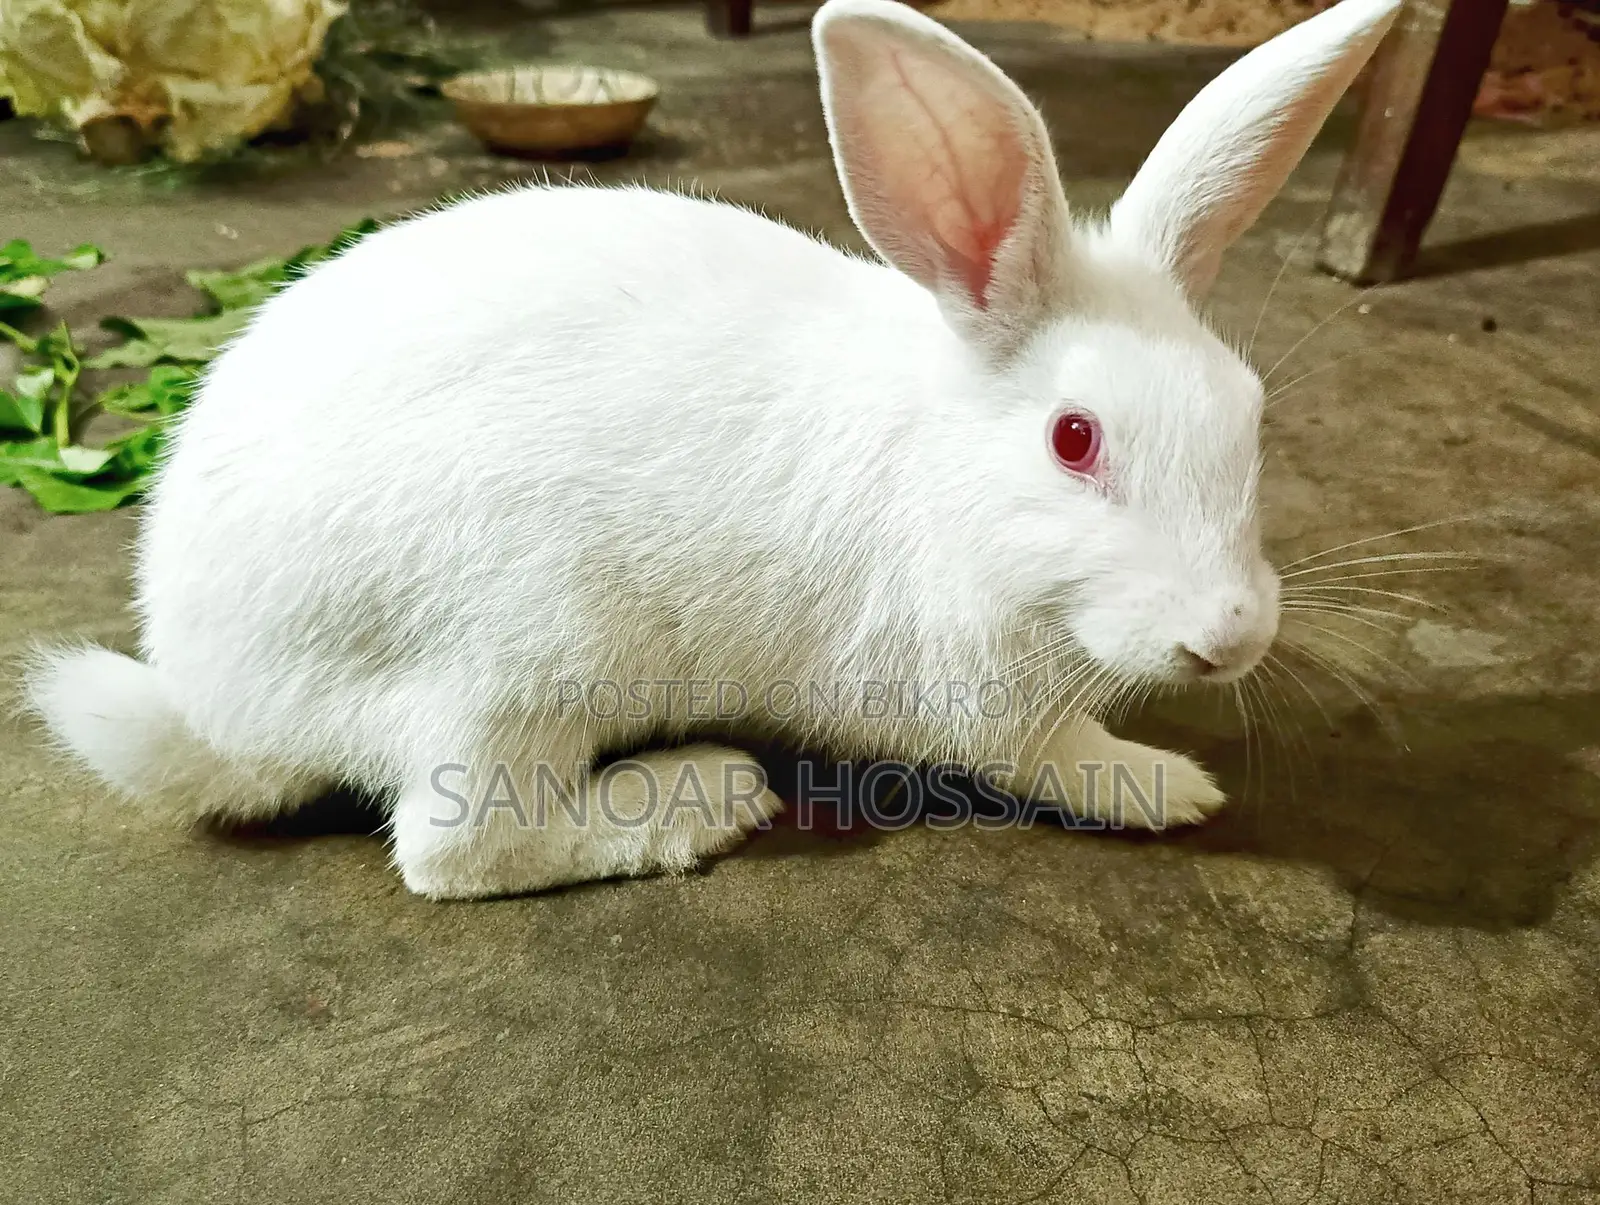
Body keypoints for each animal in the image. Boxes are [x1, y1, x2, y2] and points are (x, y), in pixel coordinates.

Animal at [25, 0, 1401, 899]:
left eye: (1251, 412)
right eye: (1074, 439)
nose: (1228, 637)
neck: (950, 477)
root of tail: (216, 695)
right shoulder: (974, 699)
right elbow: (1060, 761)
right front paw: (1170, 783)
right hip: (512, 666)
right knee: (452, 849)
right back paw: (702, 798)